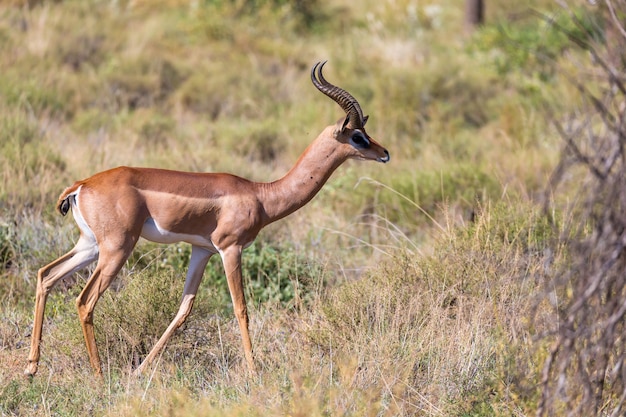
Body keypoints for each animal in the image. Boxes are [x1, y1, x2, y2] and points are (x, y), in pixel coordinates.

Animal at [24, 61, 388, 376]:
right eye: (358, 136)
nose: (384, 153)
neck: (261, 195)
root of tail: (82, 184)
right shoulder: (230, 249)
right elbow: (241, 309)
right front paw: (254, 372)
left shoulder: (202, 251)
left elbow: (183, 310)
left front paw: (140, 371)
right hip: (117, 248)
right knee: (84, 301)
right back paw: (99, 375)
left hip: (90, 245)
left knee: (46, 275)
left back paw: (31, 368)